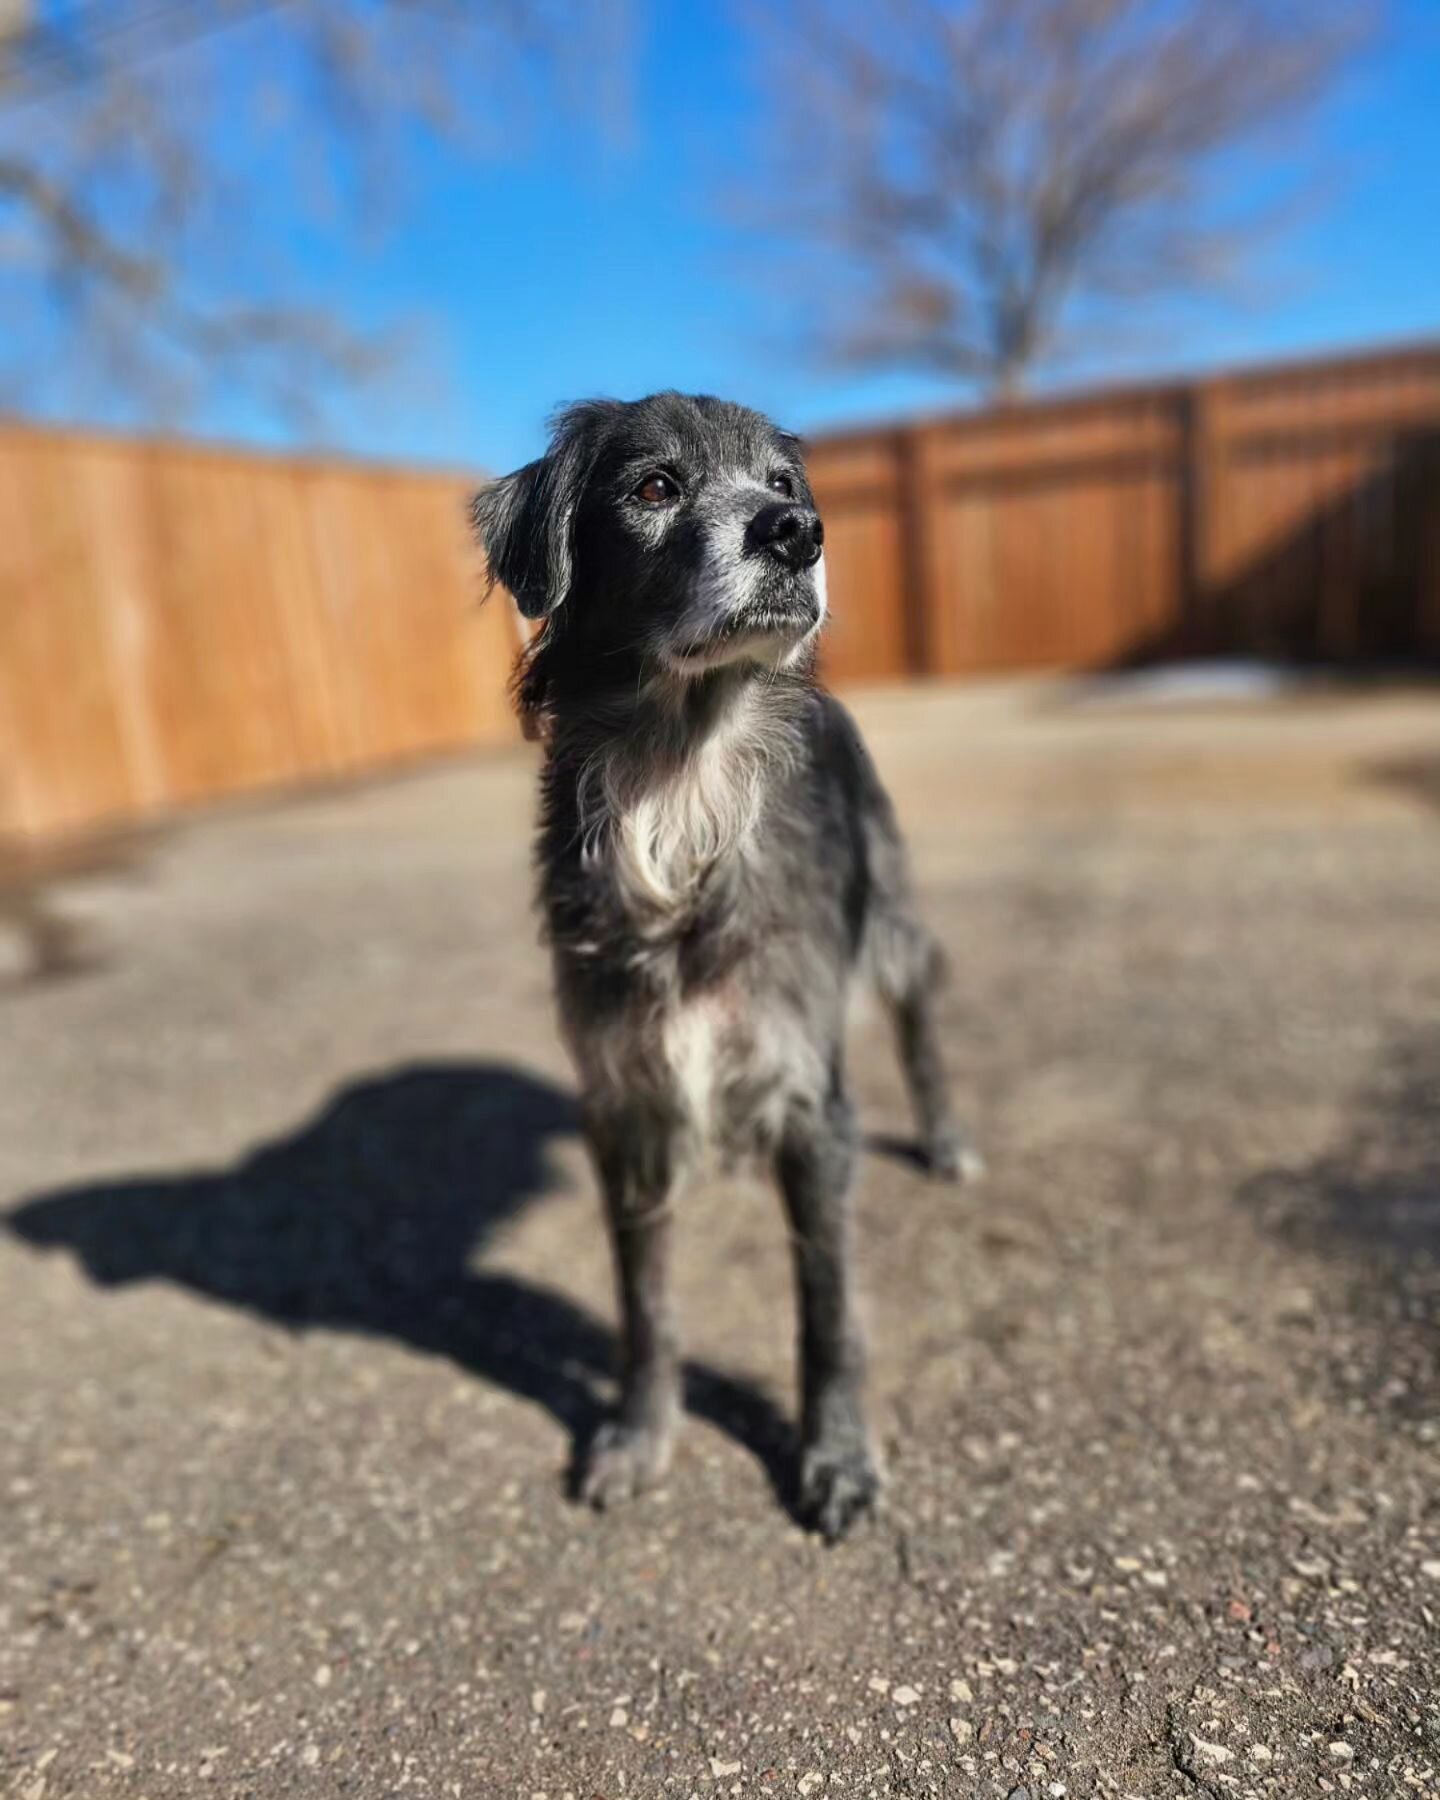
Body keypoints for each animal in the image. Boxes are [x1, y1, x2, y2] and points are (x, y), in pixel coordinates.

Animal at [471, 390, 979, 1533]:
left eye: (783, 486)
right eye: (654, 486)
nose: (799, 534)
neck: (683, 790)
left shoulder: (808, 1099)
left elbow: (828, 1309)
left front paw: (837, 1457)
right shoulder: (626, 1104)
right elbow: (646, 1305)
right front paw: (638, 1435)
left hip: (889, 920)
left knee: (923, 1018)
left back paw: (945, 1140)